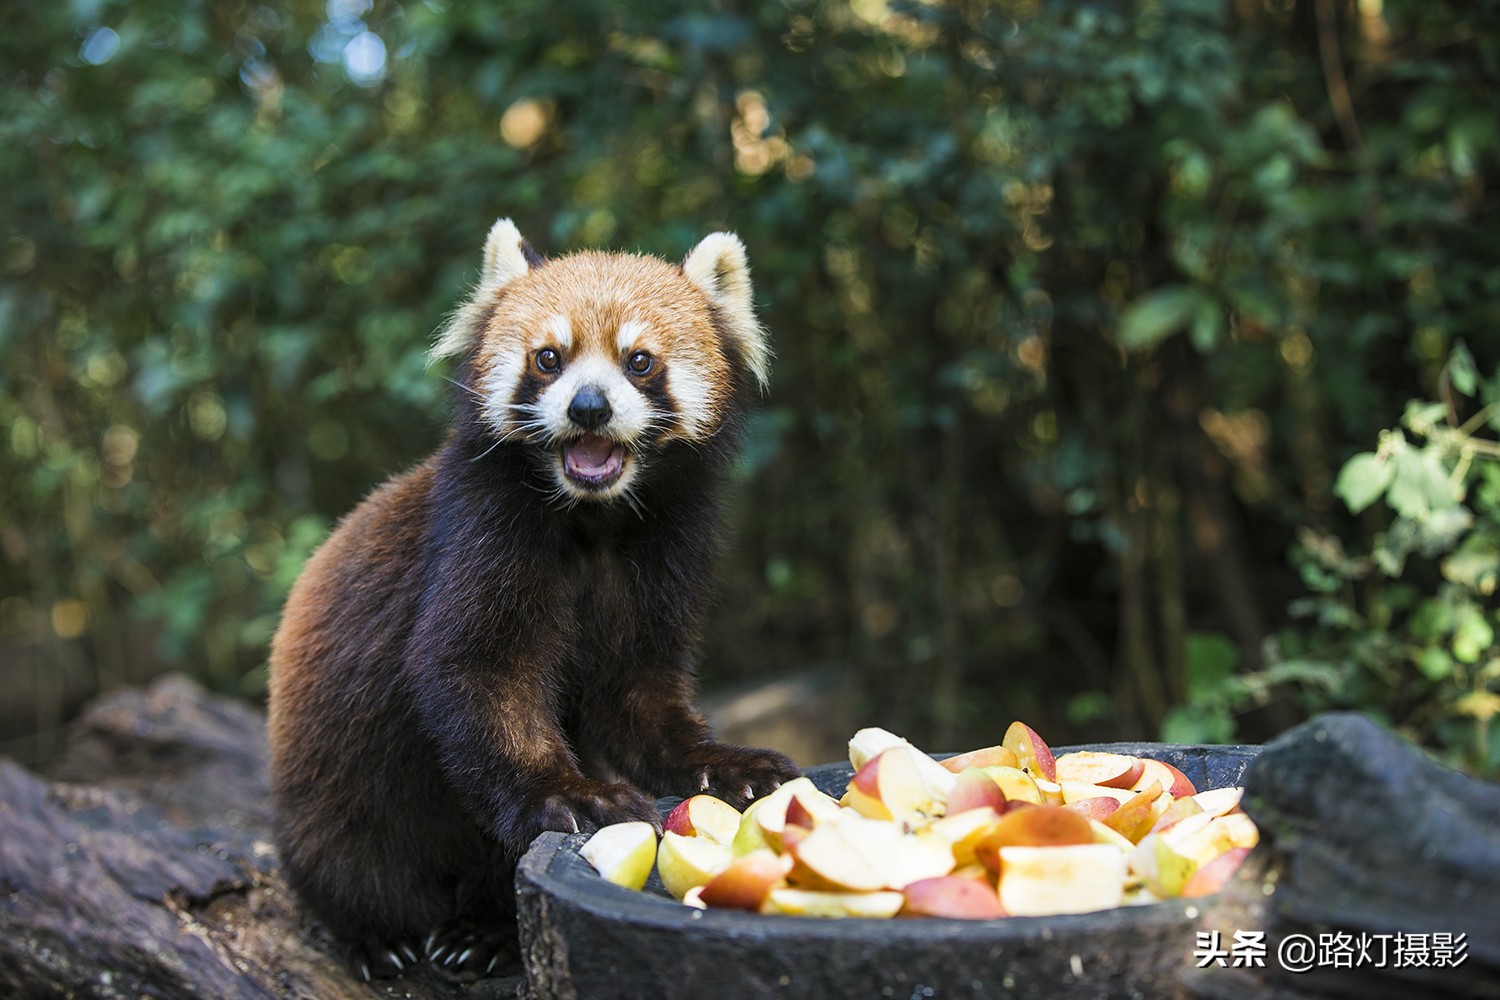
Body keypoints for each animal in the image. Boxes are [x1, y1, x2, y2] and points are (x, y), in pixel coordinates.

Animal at [274, 218, 804, 977]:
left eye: (640, 362)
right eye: (549, 358)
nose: (589, 406)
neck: (594, 519)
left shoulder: (665, 554)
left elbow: (637, 696)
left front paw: (727, 765)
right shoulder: (481, 532)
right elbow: (481, 675)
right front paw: (576, 796)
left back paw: (487, 929)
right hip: (329, 767)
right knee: (351, 855)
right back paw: (383, 934)